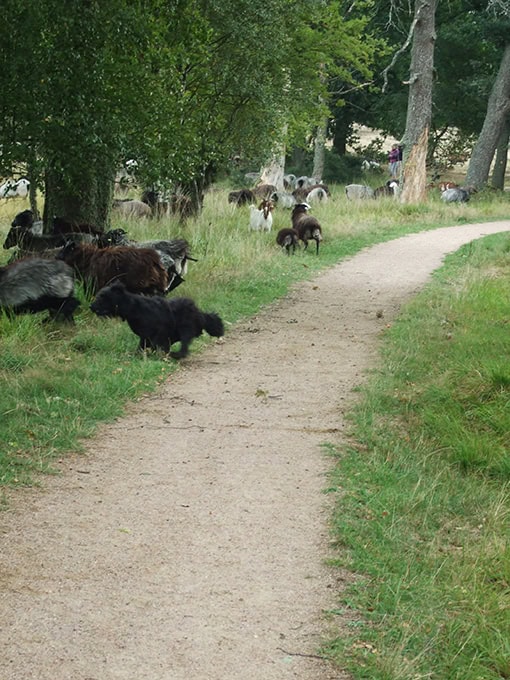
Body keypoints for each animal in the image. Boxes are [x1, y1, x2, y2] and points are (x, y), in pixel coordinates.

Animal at [91, 280, 223, 358]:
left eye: (102, 297)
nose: (91, 306)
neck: (134, 307)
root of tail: (198, 312)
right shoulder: (145, 336)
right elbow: (142, 346)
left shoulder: (158, 332)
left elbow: (156, 344)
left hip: (186, 328)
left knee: (184, 346)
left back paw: (176, 355)